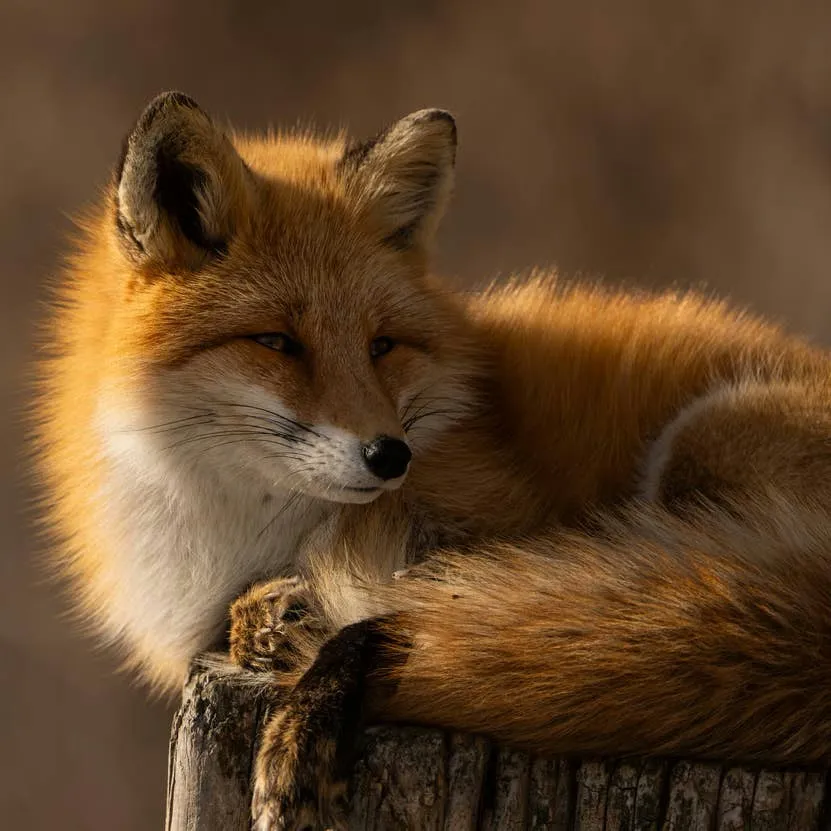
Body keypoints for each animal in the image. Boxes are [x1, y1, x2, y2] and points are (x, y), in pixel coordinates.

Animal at [33, 91, 831, 829]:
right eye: (278, 342)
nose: (391, 455)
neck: (239, 531)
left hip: (701, 442)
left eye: (381, 344)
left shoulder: (494, 526)